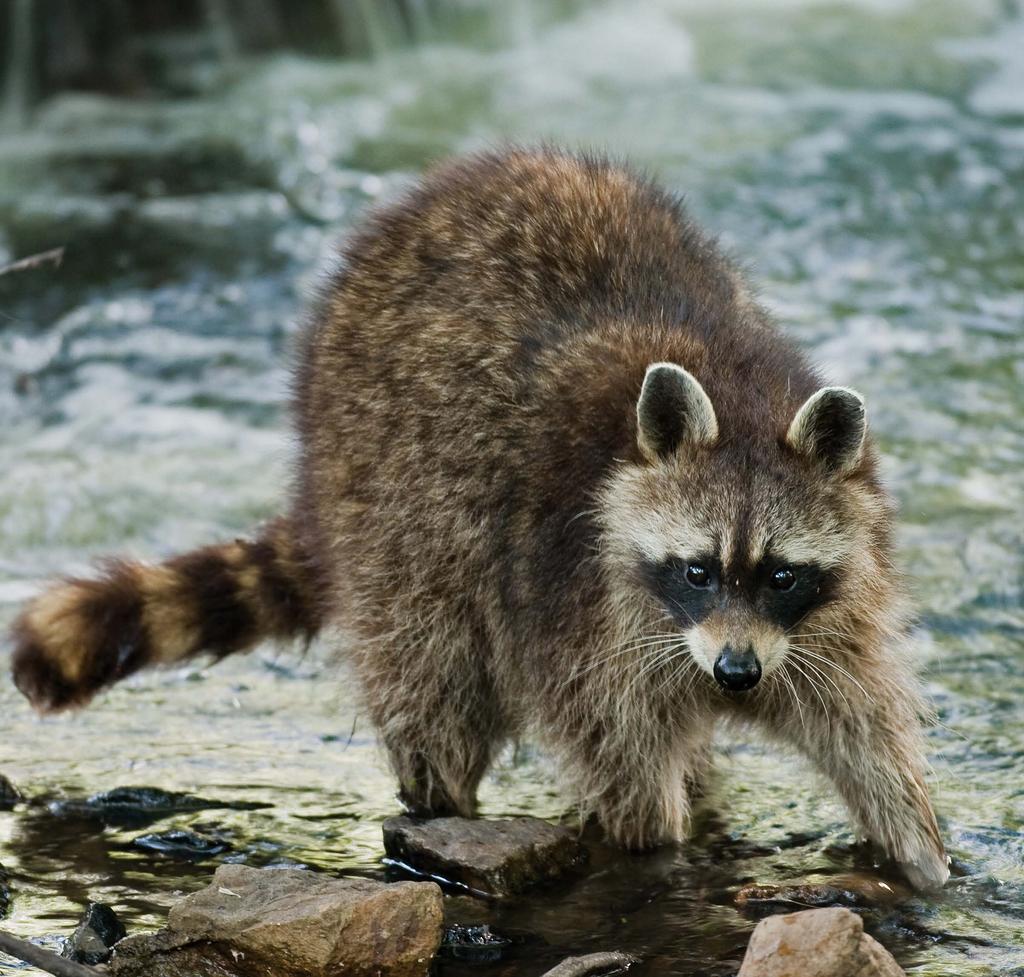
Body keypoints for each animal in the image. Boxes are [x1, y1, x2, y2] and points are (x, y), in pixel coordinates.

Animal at [9, 148, 950, 888]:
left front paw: (923, 851)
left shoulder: (824, 612)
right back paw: (436, 800)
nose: (736, 673)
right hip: (390, 498)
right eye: (697, 569)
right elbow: (616, 746)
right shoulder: (572, 593)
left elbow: (862, 719)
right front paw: (656, 848)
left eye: (782, 574)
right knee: (429, 671)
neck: (740, 393)